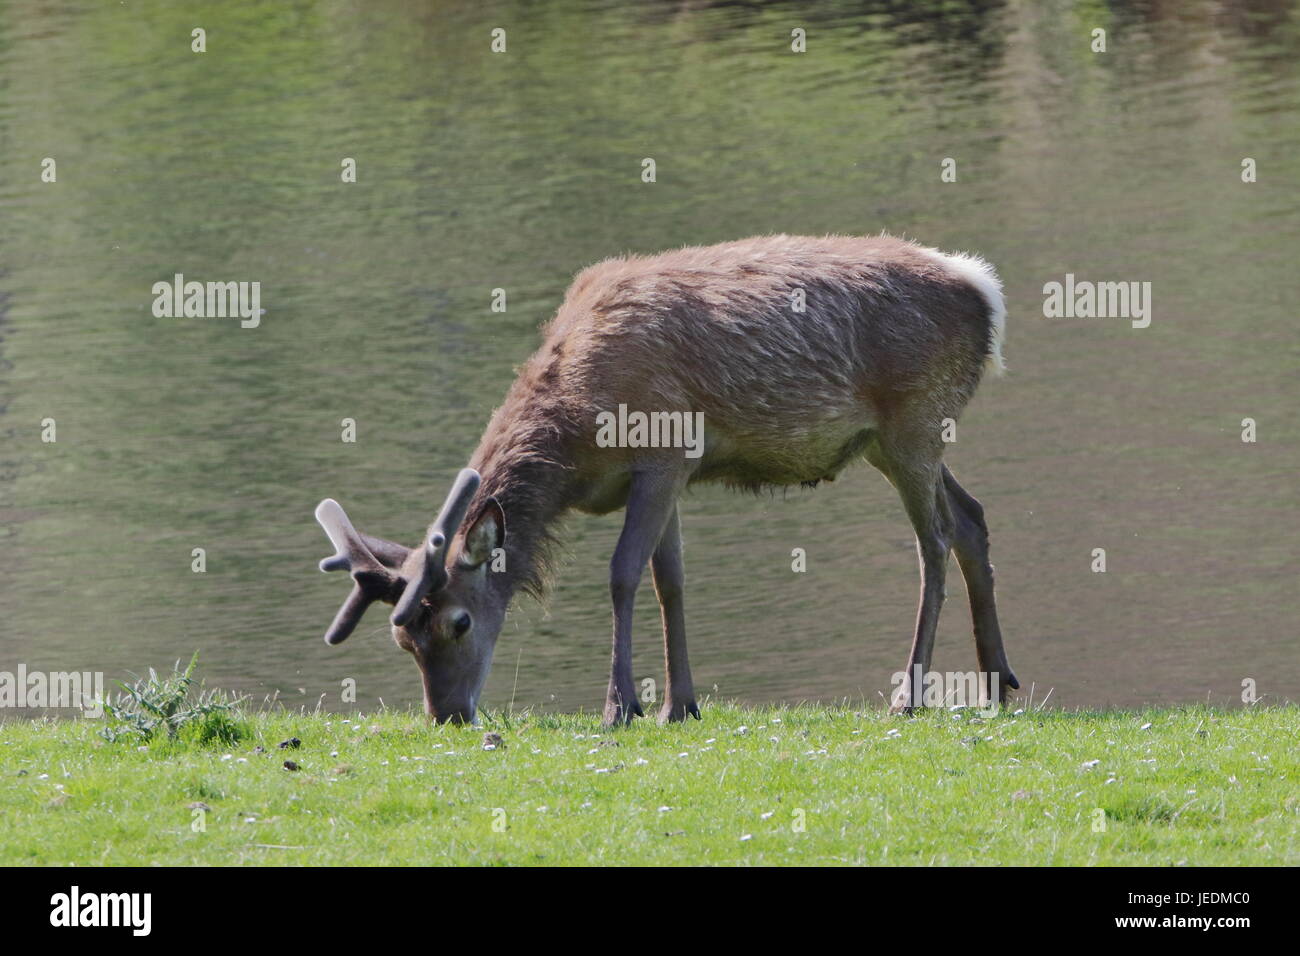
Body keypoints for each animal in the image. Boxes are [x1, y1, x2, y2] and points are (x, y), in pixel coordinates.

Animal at [312, 235, 1013, 728]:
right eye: (403, 637)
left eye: (458, 622)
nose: (449, 716)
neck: (576, 438)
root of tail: (985, 290)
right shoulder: (668, 475)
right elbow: (668, 580)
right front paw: (681, 704)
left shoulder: (664, 451)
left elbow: (623, 573)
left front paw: (621, 706)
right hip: (892, 442)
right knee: (972, 517)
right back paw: (998, 682)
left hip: (915, 420)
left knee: (934, 542)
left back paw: (910, 697)